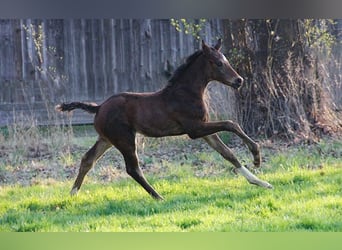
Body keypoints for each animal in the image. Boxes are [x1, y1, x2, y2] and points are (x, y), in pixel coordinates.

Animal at [57, 39, 274, 200]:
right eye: (218, 63)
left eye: (226, 60)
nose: (239, 81)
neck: (186, 93)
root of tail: (99, 107)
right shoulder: (195, 129)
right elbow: (231, 124)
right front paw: (256, 157)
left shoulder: (205, 131)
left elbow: (228, 154)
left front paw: (261, 182)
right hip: (125, 139)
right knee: (132, 169)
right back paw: (158, 197)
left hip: (107, 139)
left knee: (87, 159)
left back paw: (72, 194)